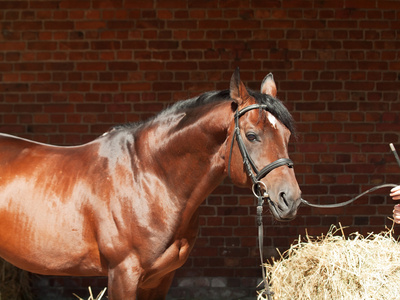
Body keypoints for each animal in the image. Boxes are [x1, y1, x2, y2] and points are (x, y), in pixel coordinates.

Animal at [0, 69, 302, 298]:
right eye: (251, 135)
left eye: (287, 135)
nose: (290, 198)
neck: (150, 179)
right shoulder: (123, 275)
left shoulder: (161, 278)